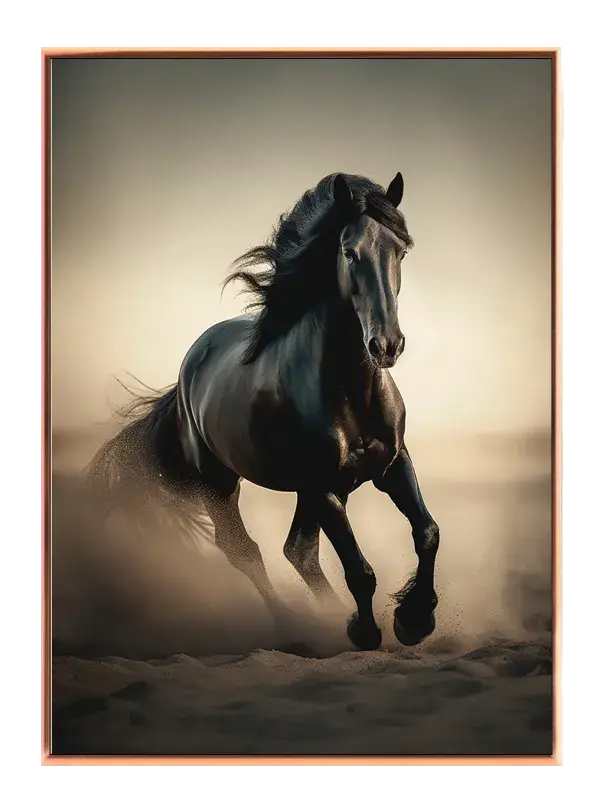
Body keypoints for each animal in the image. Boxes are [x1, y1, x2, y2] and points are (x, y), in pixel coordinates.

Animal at [88, 171, 440, 651]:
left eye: (400, 250)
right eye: (349, 251)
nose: (386, 345)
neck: (352, 391)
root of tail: (188, 370)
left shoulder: (391, 465)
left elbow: (427, 533)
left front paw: (415, 620)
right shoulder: (322, 485)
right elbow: (359, 570)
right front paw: (366, 631)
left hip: (317, 490)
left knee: (298, 551)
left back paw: (327, 616)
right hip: (220, 485)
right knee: (245, 552)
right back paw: (299, 628)